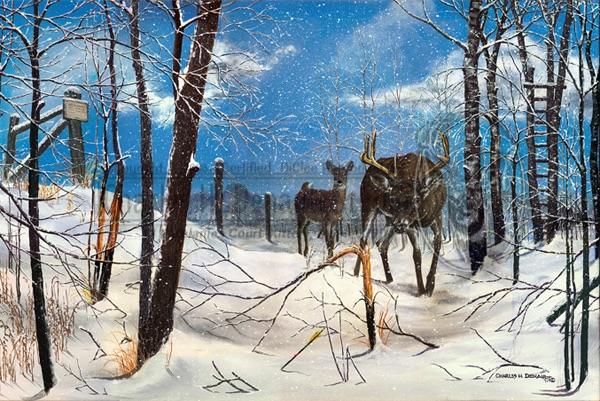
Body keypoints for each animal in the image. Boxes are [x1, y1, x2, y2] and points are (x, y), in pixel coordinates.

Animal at [353, 130, 449, 296]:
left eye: (416, 198)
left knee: (381, 244)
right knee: (363, 239)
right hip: (368, 206)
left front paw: (430, 286)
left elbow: (437, 246)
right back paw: (357, 274)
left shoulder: (437, 216)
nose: (400, 225)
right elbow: (416, 254)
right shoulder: (410, 224)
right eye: (392, 198)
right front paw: (421, 290)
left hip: (389, 219)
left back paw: (389, 279)